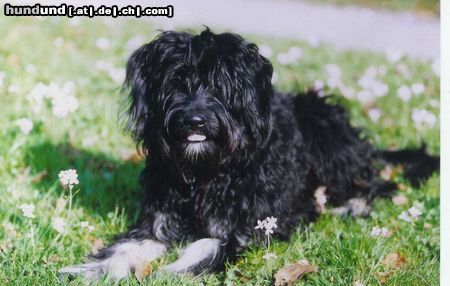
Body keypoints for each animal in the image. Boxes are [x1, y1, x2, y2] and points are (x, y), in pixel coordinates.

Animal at [59, 29, 440, 282]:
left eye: (220, 86)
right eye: (175, 82)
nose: (194, 120)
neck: (206, 172)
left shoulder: (251, 225)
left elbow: (207, 246)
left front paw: (172, 271)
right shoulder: (157, 221)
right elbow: (125, 248)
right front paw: (89, 269)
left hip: (323, 127)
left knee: (375, 185)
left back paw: (348, 206)